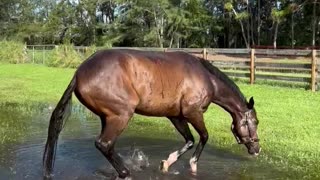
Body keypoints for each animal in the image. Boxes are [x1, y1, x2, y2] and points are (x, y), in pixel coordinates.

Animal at [42, 48, 262, 179]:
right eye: (256, 122)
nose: (257, 149)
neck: (206, 78)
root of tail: (79, 73)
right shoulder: (193, 113)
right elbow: (204, 137)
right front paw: (192, 166)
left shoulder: (176, 116)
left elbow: (189, 140)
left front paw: (167, 163)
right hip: (121, 115)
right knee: (104, 144)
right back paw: (126, 172)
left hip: (107, 117)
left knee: (107, 146)